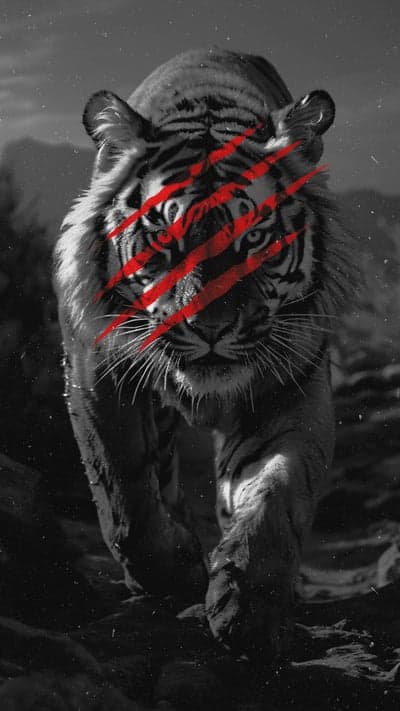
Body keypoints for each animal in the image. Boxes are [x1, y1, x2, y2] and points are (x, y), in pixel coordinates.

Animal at [54, 48, 353, 656]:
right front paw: (175, 573)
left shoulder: (288, 390)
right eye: (165, 239)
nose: (211, 327)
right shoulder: (98, 373)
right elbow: (123, 495)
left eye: (256, 237)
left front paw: (248, 607)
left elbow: (275, 493)